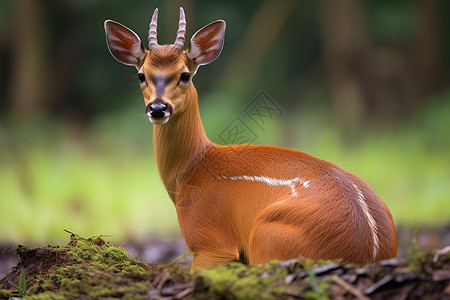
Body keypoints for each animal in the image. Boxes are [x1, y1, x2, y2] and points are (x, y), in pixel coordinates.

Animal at [104, 7, 398, 270]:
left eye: (184, 75)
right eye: (141, 75)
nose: (157, 108)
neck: (192, 169)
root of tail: (371, 250)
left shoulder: (210, 241)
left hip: (266, 237)